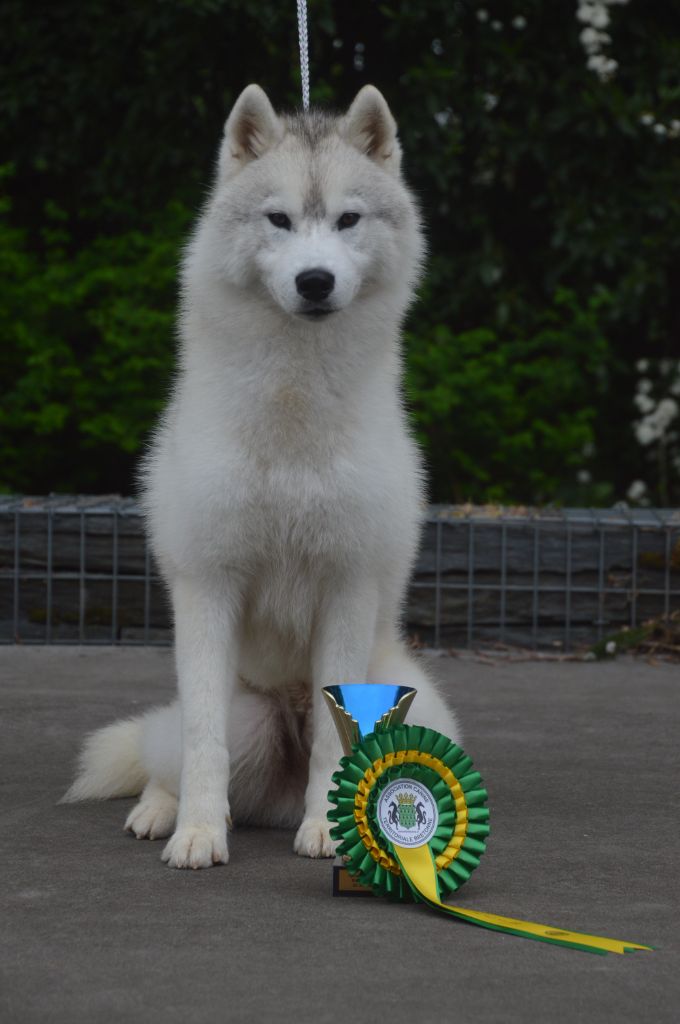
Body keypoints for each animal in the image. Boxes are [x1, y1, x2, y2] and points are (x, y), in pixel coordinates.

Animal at [63, 83, 458, 864]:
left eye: (347, 219)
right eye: (279, 218)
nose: (315, 280)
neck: (292, 414)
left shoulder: (346, 583)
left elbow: (336, 748)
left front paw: (329, 830)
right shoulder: (208, 585)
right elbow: (203, 743)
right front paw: (197, 834)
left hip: (421, 706)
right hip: (237, 716)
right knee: (170, 759)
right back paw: (161, 811)